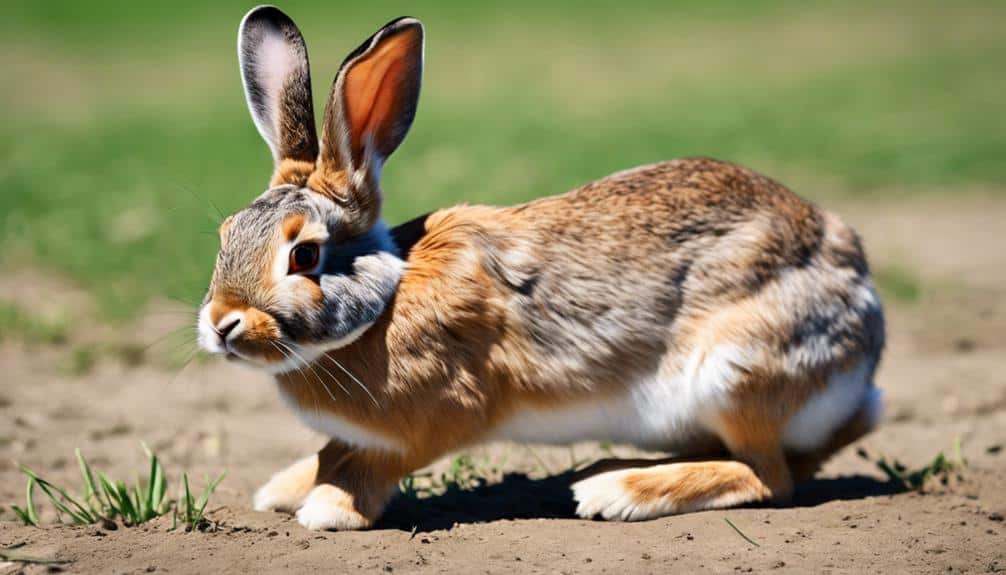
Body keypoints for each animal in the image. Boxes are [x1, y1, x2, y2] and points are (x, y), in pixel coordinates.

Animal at [197, 5, 885, 531]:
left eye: (304, 254)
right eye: (226, 235)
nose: (223, 324)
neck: (387, 299)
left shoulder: (438, 416)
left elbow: (375, 464)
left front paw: (328, 509)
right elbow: (329, 448)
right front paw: (282, 489)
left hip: (734, 370)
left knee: (769, 476)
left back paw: (615, 491)